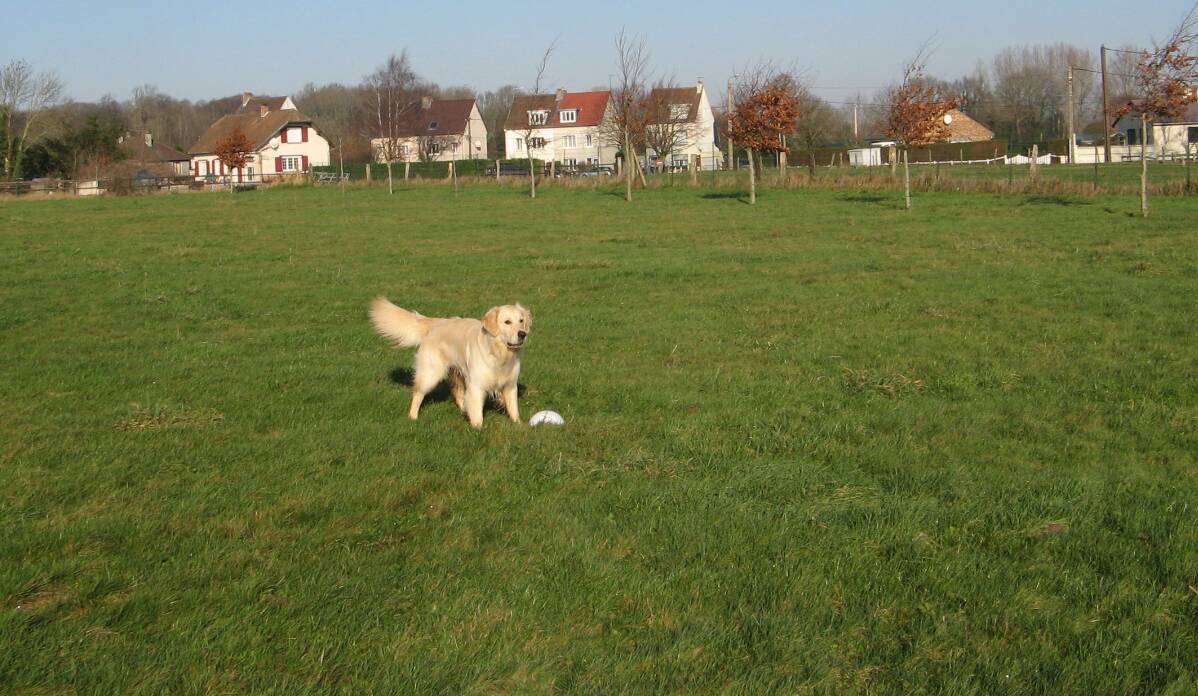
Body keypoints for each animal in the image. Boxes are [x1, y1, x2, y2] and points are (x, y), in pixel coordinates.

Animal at [366, 295, 531, 426]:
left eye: (521, 320)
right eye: (507, 322)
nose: (522, 334)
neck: (499, 354)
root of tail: (438, 322)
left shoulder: (510, 386)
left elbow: (514, 409)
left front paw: (519, 425)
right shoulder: (476, 386)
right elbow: (477, 413)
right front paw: (478, 428)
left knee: (458, 393)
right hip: (431, 373)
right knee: (418, 393)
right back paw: (413, 417)